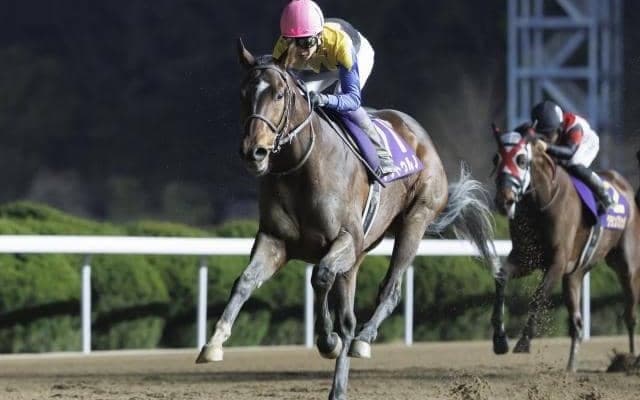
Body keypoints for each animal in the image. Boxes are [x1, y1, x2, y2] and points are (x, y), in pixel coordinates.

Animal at [195, 39, 497, 400]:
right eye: (243, 93)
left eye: (279, 95)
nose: (253, 151)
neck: (301, 168)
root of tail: (420, 136)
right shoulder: (275, 241)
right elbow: (244, 281)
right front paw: (213, 344)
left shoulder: (346, 240)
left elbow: (321, 278)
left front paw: (327, 341)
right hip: (360, 255)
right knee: (350, 316)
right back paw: (339, 384)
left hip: (415, 220)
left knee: (387, 292)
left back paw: (362, 342)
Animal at [491, 125, 640, 372]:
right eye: (496, 158)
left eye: (521, 160)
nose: (504, 201)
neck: (541, 201)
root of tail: (624, 186)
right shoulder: (525, 259)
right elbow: (501, 278)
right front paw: (499, 340)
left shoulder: (557, 263)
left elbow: (539, 296)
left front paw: (524, 342)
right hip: (575, 274)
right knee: (577, 324)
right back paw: (571, 366)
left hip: (626, 267)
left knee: (630, 315)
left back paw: (629, 360)